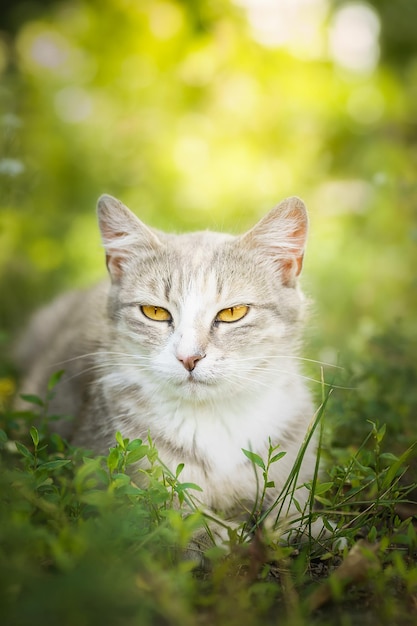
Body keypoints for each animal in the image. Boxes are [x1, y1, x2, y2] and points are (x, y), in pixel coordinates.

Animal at [15, 194, 324, 556]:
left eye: (233, 312)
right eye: (154, 312)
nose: (189, 357)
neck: (215, 418)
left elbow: (292, 498)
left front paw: (305, 526)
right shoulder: (105, 467)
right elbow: (159, 508)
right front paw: (214, 536)